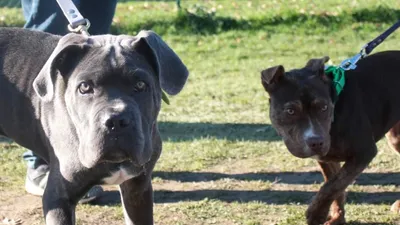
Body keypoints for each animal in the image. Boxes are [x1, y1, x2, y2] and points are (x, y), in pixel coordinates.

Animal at [260, 51, 400, 225]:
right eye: (290, 111)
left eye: (324, 107)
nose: (316, 142)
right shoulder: (327, 158)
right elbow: (334, 186)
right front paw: (337, 218)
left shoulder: (364, 152)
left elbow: (332, 186)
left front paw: (316, 214)